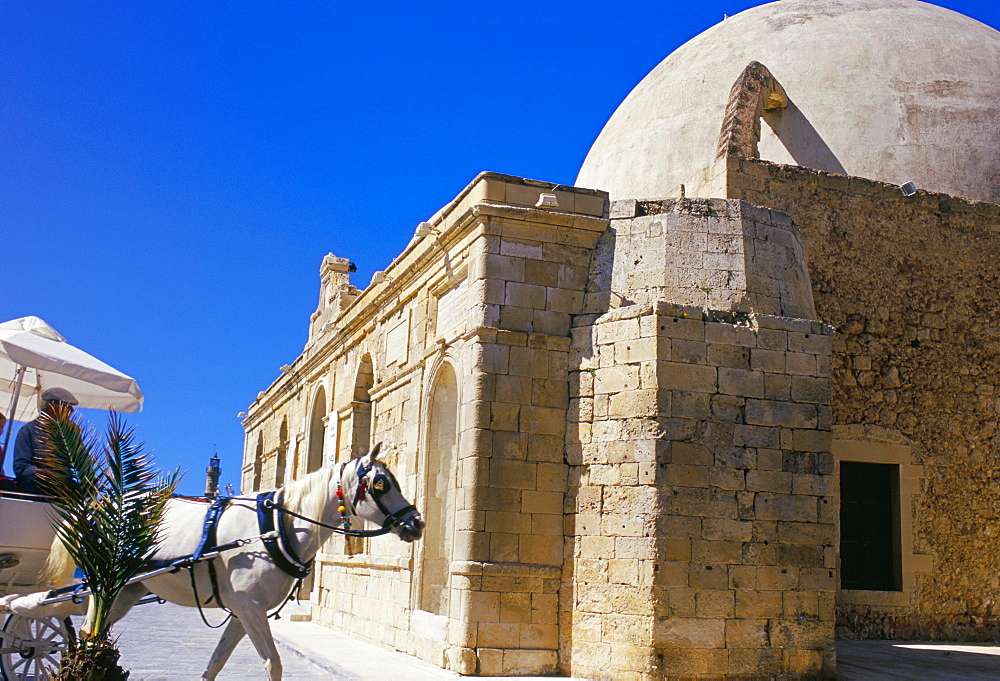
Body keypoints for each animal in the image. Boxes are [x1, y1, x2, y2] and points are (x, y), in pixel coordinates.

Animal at [1, 444, 422, 676]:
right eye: (381, 483)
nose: (416, 523)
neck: (274, 529)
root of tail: (99, 502)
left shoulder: (243, 611)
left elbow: (217, 663)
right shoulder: (250, 608)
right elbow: (273, 664)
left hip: (124, 593)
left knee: (78, 627)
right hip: (105, 584)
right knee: (72, 627)